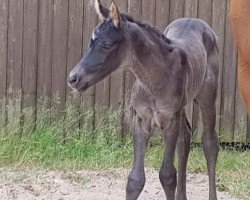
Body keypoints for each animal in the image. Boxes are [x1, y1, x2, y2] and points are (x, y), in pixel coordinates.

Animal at [68, 0, 219, 199]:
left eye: (107, 45)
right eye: (90, 42)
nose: (73, 78)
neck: (155, 79)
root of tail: (196, 20)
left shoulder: (170, 121)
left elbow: (167, 175)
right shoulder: (141, 120)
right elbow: (135, 179)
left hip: (207, 95)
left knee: (210, 143)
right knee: (185, 138)